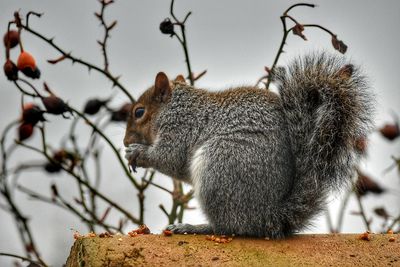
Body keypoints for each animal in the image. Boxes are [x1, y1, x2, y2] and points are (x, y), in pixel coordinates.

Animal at [123, 52, 374, 239]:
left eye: (139, 112)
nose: (125, 141)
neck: (175, 107)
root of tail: (268, 216)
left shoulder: (180, 129)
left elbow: (169, 158)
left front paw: (137, 153)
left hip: (219, 164)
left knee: (228, 227)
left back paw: (192, 228)